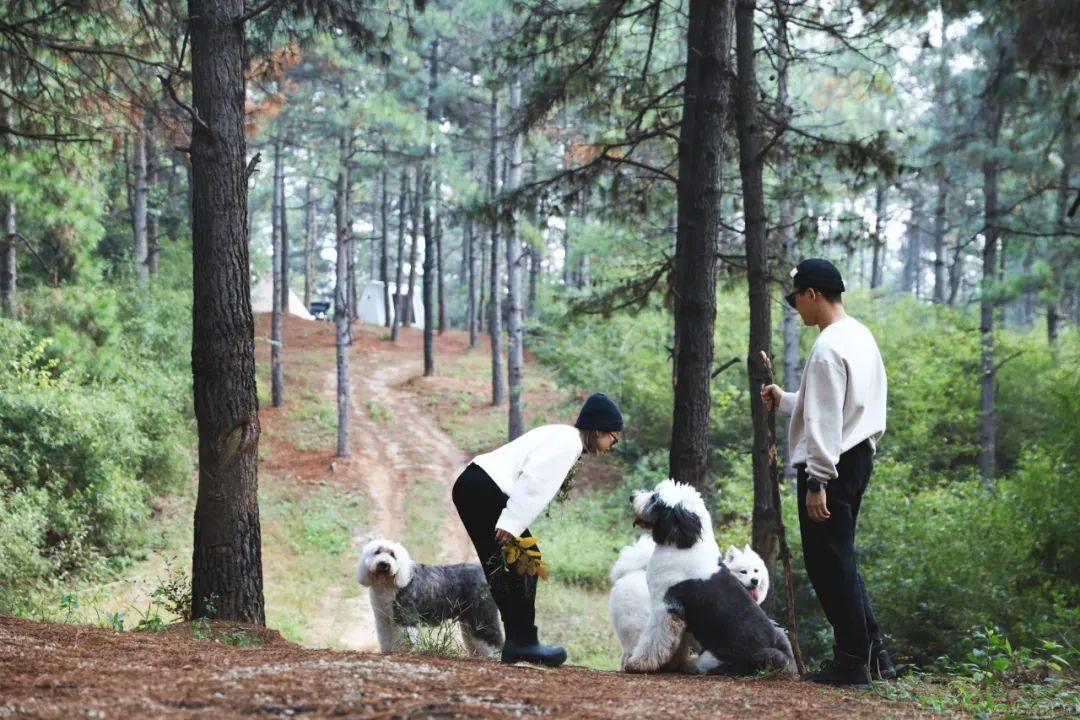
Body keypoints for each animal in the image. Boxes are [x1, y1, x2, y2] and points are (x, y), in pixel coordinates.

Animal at [356, 535, 503, 660]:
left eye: (392, 554)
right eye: (377, 552)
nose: (384, 564)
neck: (390, 583)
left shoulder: (405, 618)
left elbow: (405, 638)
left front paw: (404, 651)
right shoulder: (384, 619)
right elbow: (386, 638)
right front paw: (388, 651)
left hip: (482, 616)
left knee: (493, 640)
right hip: (468, 621)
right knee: (475, 641)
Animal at [622, 481, 799, 677]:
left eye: (655, 498)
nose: (631, 497)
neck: (685, 545)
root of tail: (778, 657)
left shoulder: (666, 607)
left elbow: (654, 638)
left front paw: (638, 664)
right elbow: (675, 643)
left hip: (718, 657)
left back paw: (690, 665)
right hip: (780, 634)